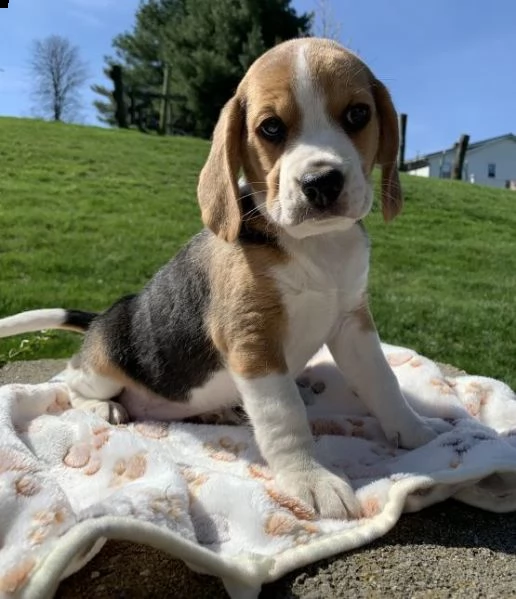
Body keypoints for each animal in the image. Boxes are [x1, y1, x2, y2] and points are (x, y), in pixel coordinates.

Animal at [0, 37, 450, 516]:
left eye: (357, 115)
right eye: (270, 128)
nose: (321, 182)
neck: (314, 244)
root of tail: (103, 317)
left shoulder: (353, 324)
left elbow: (383, 382)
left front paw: (417, 431)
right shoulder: (252, 339)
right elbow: (285, 416)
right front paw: (310, 480)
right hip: (103, 367)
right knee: (68, 381)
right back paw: (103, 408)